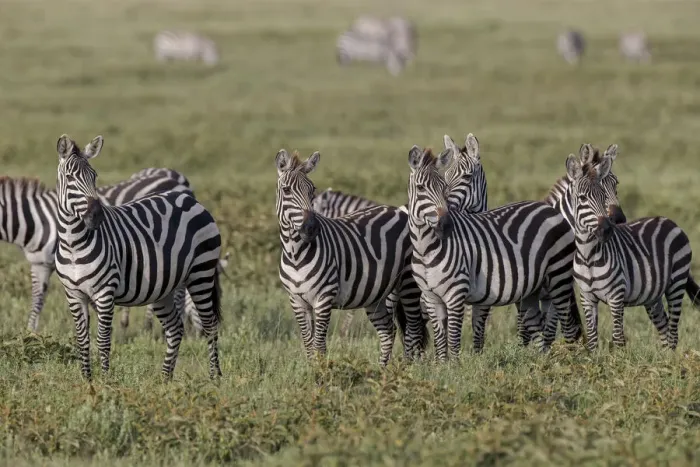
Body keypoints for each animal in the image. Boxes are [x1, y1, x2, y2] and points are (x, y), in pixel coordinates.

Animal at [53, 134, 222, 380]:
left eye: (94, 176)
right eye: (69, 178)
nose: (96, 216)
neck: (73, 244)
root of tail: (189, 199)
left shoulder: (105, 292)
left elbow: (103, 340)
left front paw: (105, 381)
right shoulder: (74, 294)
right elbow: (82, 340)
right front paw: (87, 380)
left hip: (201, 273)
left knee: (210, 326)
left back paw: (215, 377)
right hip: (165, 288)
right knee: (175, 329)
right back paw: (165, 379)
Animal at [275, 149, 426, 365]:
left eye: (312, 190)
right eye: (286, 190)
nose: (311, 228)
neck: (295, 253)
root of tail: (400, 211)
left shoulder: (324, 297)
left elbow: (319, 346)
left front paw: (320, 373)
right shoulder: (297, 300)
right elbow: (309, 345)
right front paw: (311, 369)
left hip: (408, 283)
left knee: (413, 330)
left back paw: (407, 368)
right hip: (377, 294)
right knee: (388, 330)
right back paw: (383, 370)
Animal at [406, 145, 579, 360]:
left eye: (443, 188)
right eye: (420, 188)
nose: (446, 225)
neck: (426, 249)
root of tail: (551, 210)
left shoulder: (456, 294)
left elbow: (453, 340)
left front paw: (454, 366)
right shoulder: (431, 298)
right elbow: (440, 342)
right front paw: (441, 365)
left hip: (559, 275)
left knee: (567, 322)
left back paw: (572, 361)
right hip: (533, 289)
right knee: (538, 329)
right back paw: (541, 362)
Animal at [566, 147, 700, 351]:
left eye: (603, 196)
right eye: (581, 198)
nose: (607, 229)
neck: (588, 255)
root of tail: (669, 221)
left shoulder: (616, 296)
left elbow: (618, 338)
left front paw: (618, 359)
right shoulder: (587, 298)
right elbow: (592, 338)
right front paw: (594, 357)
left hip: (676, 282)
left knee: (673, 332)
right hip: (653, 295)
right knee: (664, 327)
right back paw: (662, 357)